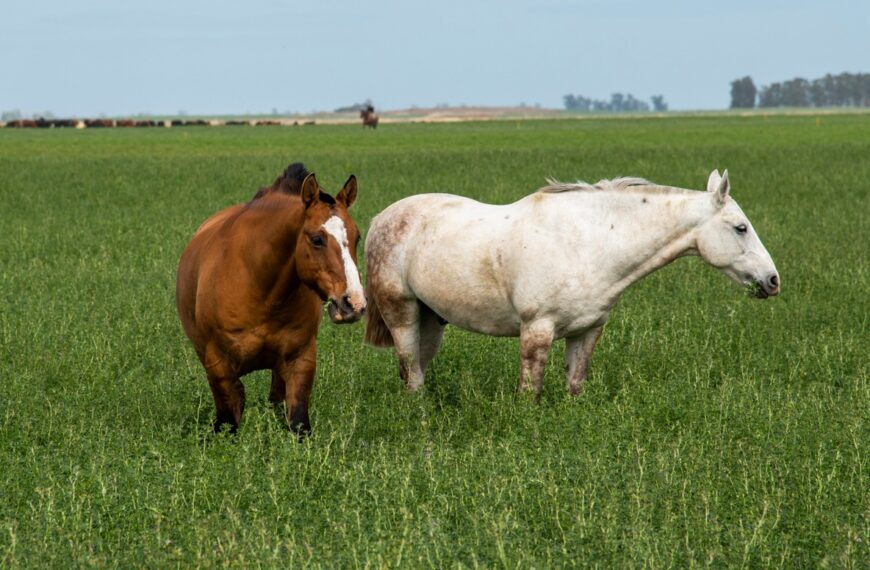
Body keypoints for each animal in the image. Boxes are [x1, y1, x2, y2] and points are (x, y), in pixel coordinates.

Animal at [177, 162, 368, 432]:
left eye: (357, 236)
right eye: (317, 239)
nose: (354, 303)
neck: (262, 292)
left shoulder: (301, 360)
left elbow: (298, 423)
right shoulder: (218, 365)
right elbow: (228, 422)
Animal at [364, 171, 788, 398]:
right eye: (740, 228)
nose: (772, 281)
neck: (589, 243)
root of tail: (382, 219)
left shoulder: (587, 331)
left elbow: (575, 385)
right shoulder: (537, 331)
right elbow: (529, 391)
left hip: (432, 321)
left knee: (416, 371)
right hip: (403, 314)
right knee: (411, 371)